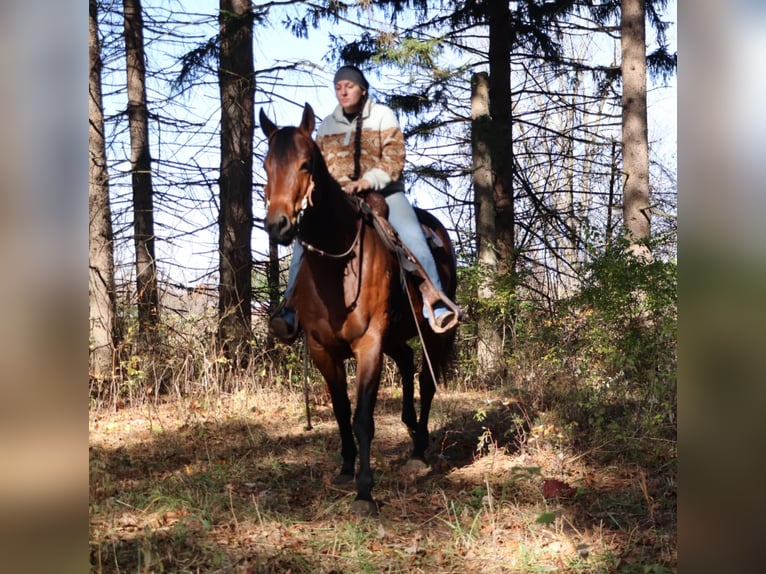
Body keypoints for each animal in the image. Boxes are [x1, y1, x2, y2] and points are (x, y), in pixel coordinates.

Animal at [259, 103, 458, 516]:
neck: (336, 266)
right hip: (394, 336)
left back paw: (419, 451)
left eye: (305, 164)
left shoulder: (369, 345)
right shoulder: (323, 349)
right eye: (266, 165)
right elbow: (339, 410)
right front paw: (346, 468)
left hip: (432, 334)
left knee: (426, 381)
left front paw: (365, 491)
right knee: (407, 363)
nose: (278, 225)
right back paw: (410, 427)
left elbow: (363, 417)